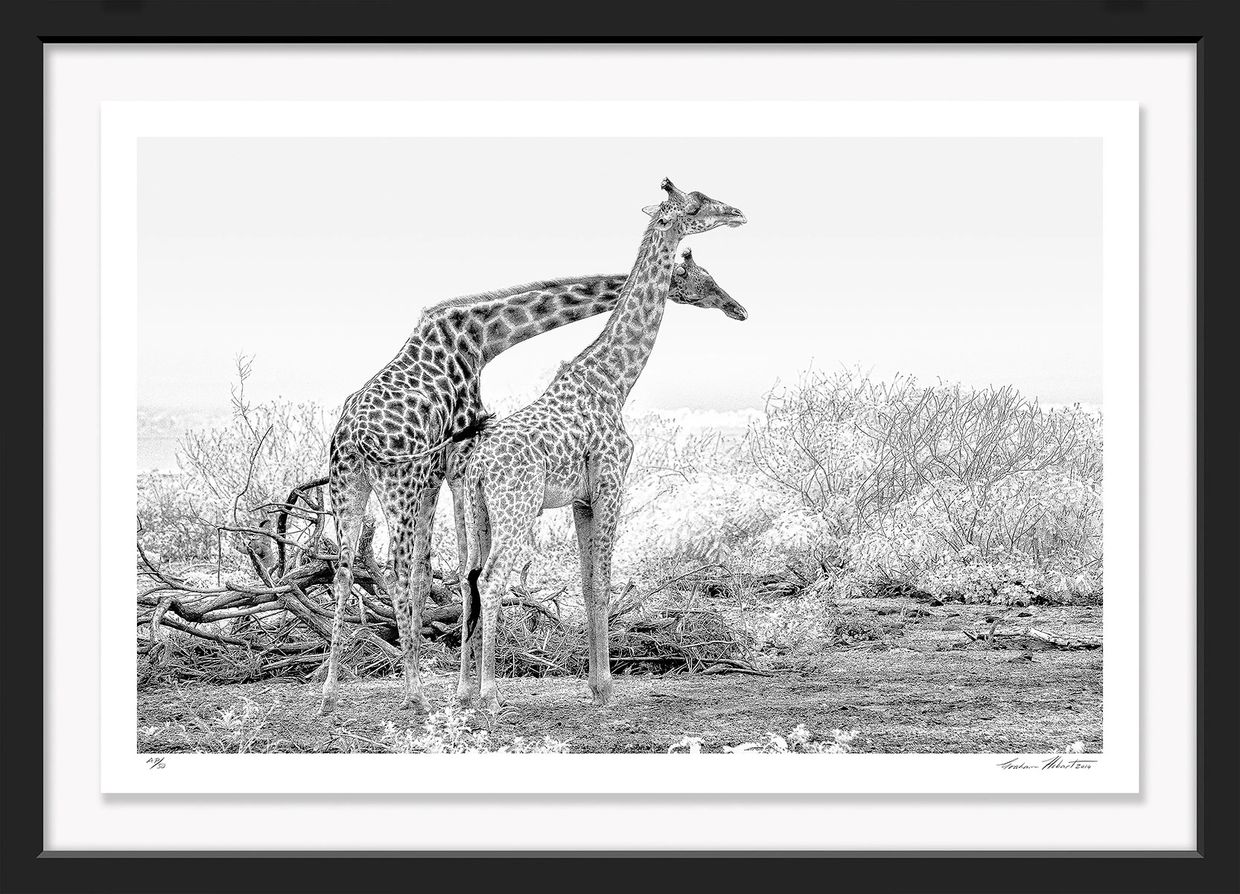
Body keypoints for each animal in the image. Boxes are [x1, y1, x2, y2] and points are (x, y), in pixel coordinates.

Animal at [319, 249, 748, 715]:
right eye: (703, 278)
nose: (736, 308)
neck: (482, 339)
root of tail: (353, 437)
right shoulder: (456, 460)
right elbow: (453, 571)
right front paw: (460, 688)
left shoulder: (440, 474)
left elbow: (438, 571)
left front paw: (463, 686)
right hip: (401, 486)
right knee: (397, 573)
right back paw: (415, 694)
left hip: (349, 487)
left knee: (344, 572)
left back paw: (330, 694)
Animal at [458, 179, 747, 712]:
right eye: (697, 202)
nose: (738, 212)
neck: (615, 380)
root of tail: (479, 466)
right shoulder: (612, 482)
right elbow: (604, 581)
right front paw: (606, 686)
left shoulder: (581, 498)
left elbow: (589, 582)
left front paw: (594, 683)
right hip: (517, 507)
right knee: (490, 578)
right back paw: (490, 693)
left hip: (477, 512)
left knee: (467, 579)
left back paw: (465, 690)